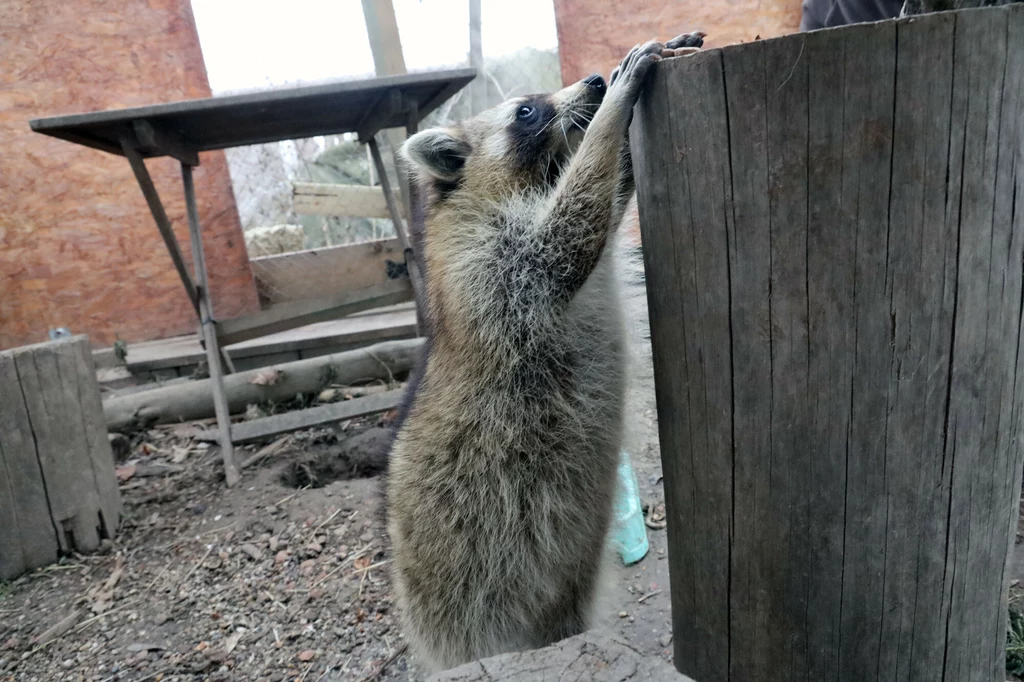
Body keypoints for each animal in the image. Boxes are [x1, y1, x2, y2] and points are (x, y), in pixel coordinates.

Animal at [382, 31, 704, 667]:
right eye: (526, 111)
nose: (594, 82)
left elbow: (605, 201)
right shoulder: (486, 263)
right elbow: (562, 244)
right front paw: (612, 112)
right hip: (462, 593)